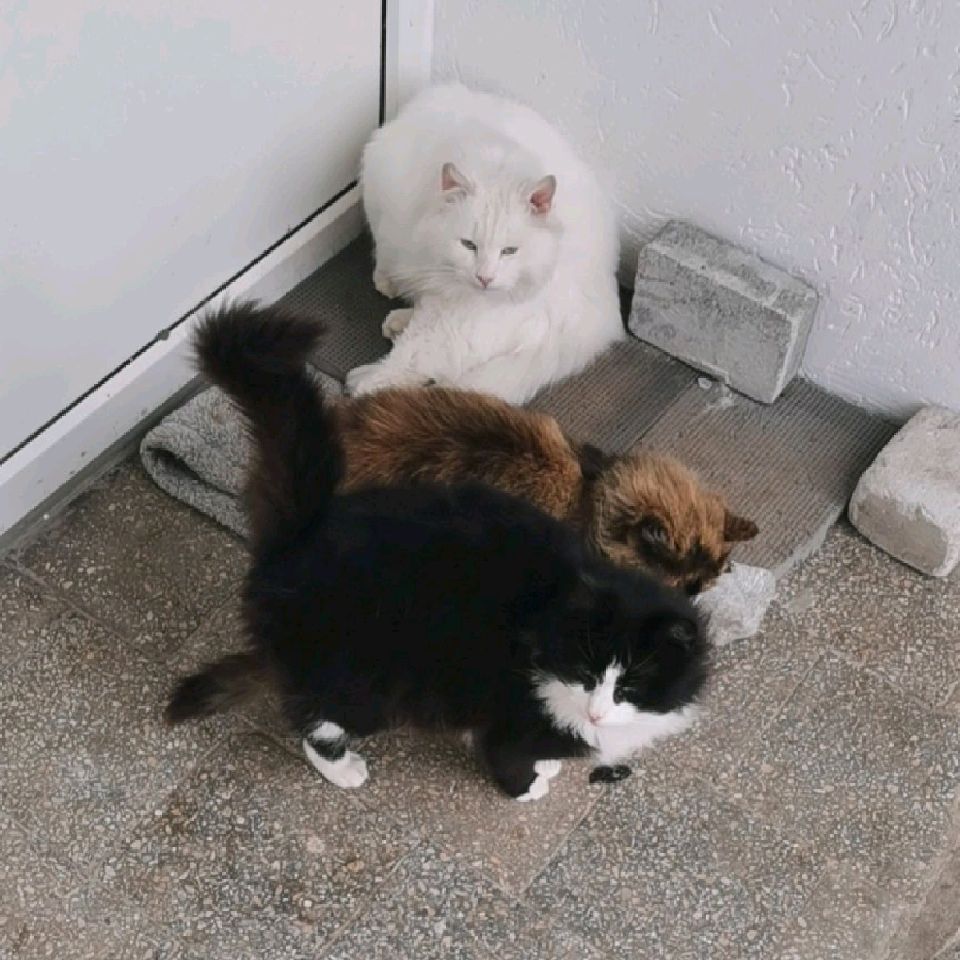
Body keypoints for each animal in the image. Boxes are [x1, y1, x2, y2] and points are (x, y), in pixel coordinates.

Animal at [166, 304, 709, 799]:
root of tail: (303, 532)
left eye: (631, 685)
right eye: (586, 671)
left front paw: (553, 763)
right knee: (312, 715)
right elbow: (508, 755)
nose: (596, 712)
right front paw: (530, 785)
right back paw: (341, 767)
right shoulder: (514, 711)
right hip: (368, 676)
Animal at [346, 83, 624, 404]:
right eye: (468, 244)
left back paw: (362, 380)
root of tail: (598, 323)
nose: (485, 278)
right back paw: (397, 322)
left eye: (510, 251)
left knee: (422, 362)